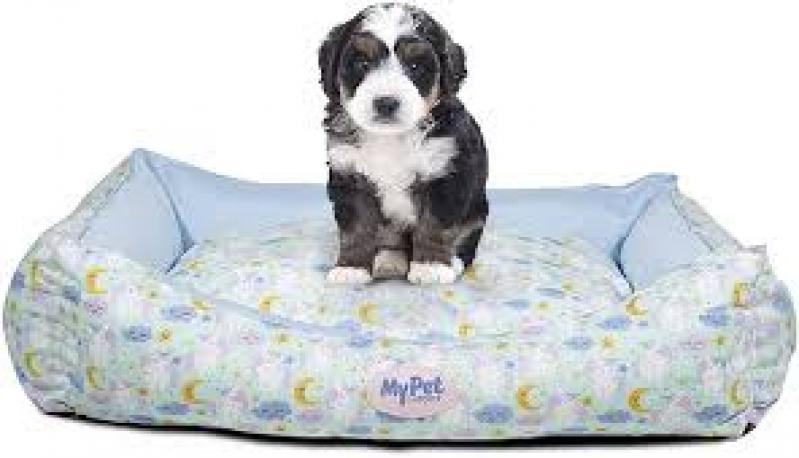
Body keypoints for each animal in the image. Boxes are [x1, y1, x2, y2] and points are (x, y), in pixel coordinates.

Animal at [319, 3, 488, 285]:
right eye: (362, 63)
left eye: (415, 65)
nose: (386, 103)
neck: (391, 137)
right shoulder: (350, 176)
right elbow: (356, 230)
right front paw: (351, 268)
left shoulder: (445, 175)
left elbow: (435, 226)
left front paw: (431, 266)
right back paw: (389, 260)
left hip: (477, 210)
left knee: (465, 241)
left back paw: (452, 261)